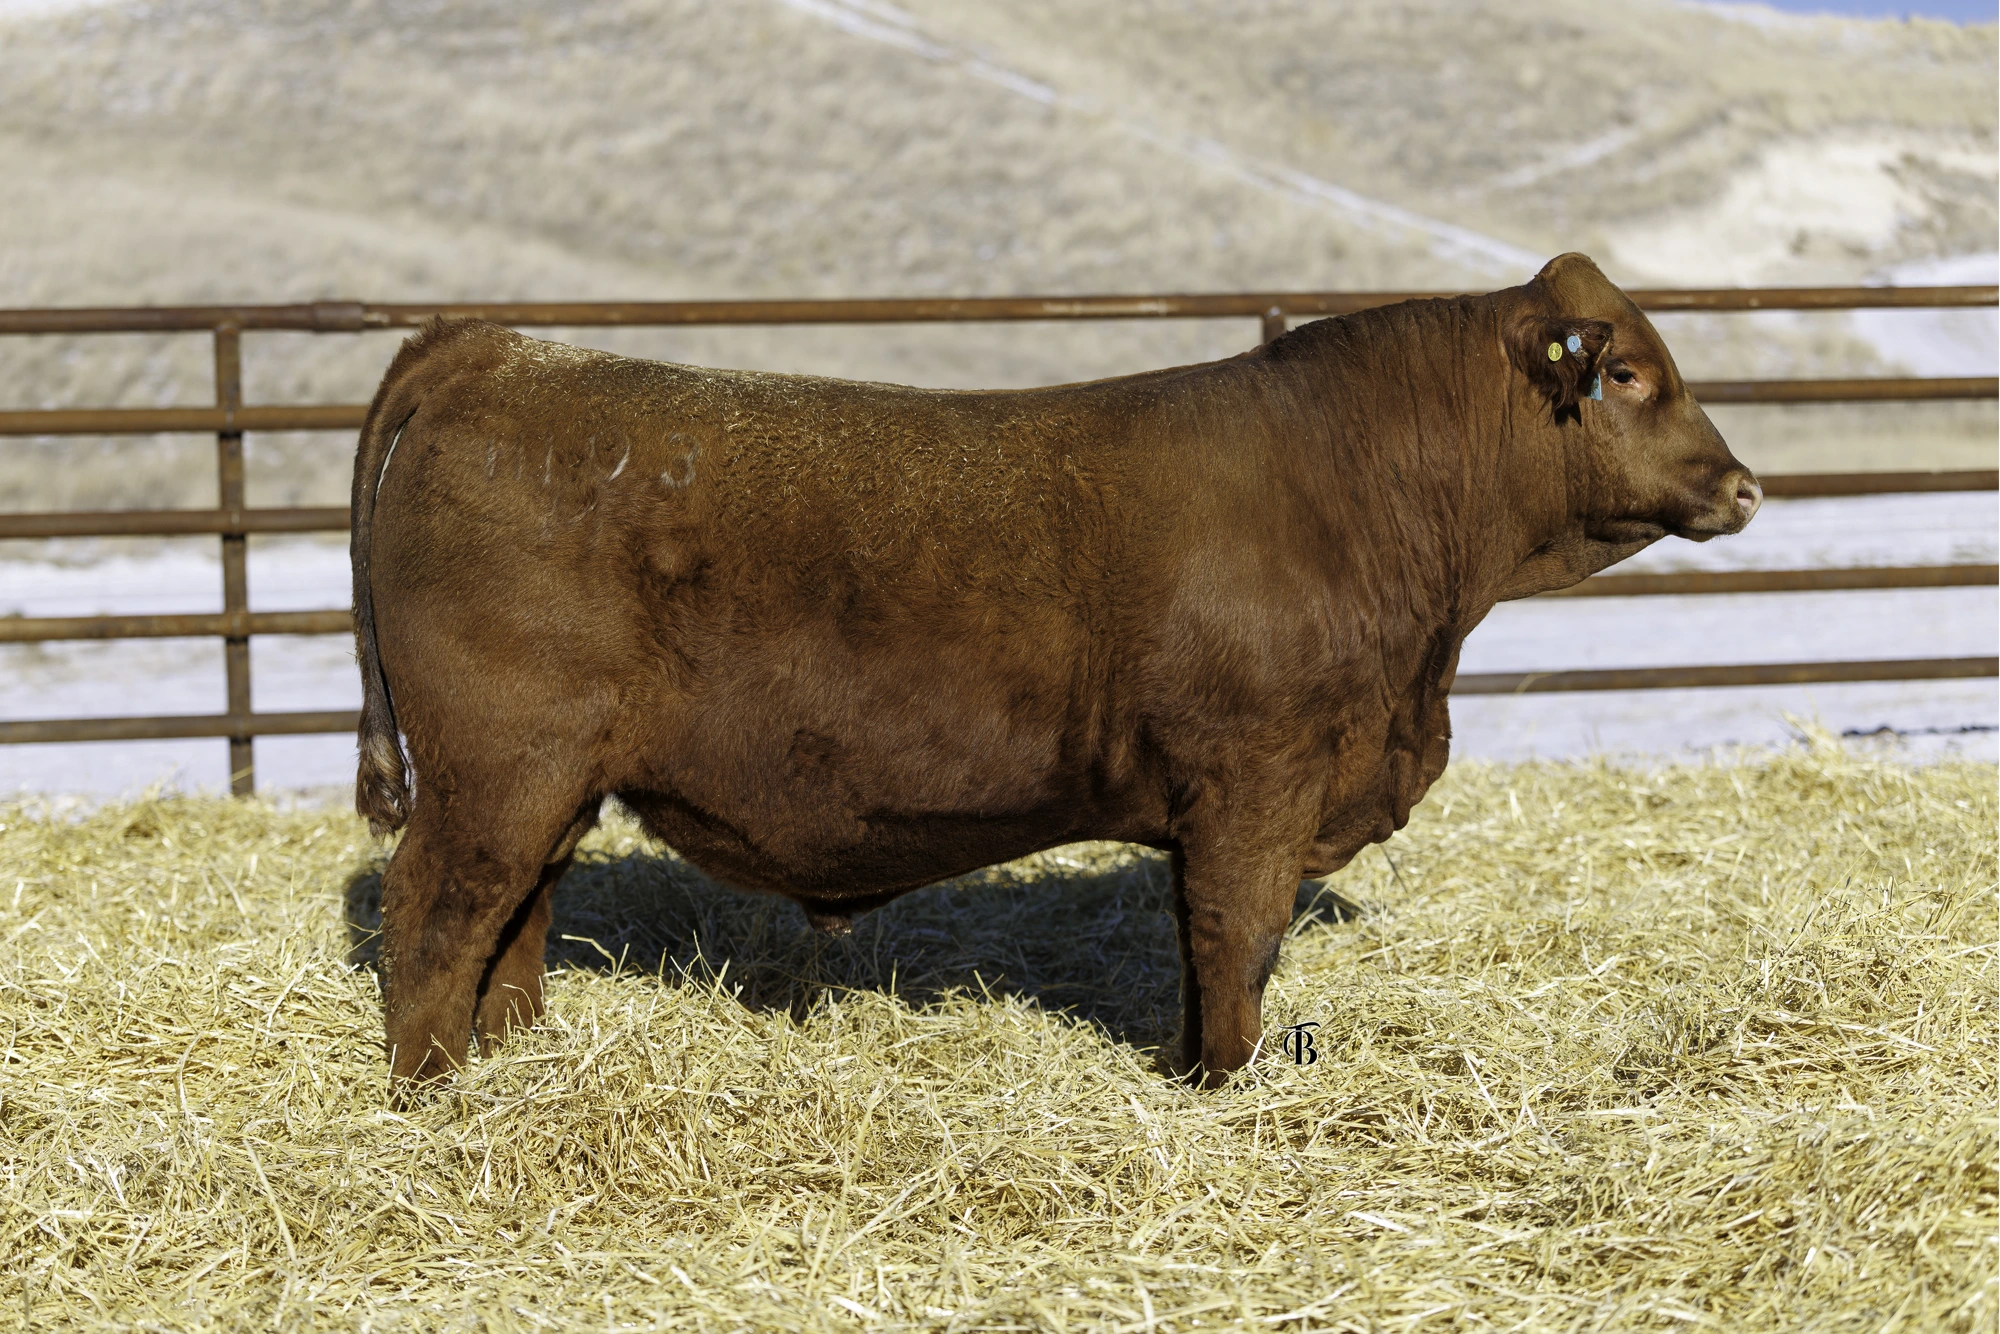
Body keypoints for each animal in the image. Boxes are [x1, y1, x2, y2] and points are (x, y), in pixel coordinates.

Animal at [350, 253, 1760, 1092]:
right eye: (1625, 371)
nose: (1745, 484)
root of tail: (500, 349)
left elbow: (1199, 949)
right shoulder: (1253, 784)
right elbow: (1235, 940)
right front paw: (1230, 1085)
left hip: (548, 778)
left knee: (518, 912)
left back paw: (512, 1061)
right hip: (495, 764)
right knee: (437, 910)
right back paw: (434, 1096)